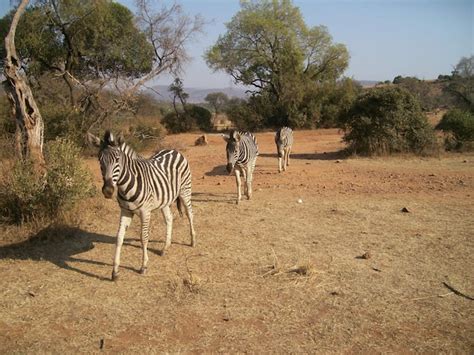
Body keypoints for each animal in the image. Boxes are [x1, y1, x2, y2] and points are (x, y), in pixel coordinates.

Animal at [87, 131, 196, 280]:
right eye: (99, 160)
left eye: (117, 159)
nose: (108, 191)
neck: (125, 186)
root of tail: (173, 150)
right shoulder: (125, 211)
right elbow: (119, 237)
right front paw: (115, 271)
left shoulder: (145, 212)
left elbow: (143, 238)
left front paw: (143, 266)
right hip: (164, 199)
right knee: (169, 218)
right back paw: (165, 247)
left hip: (185, 190)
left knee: (190, 214)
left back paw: (193, 241)